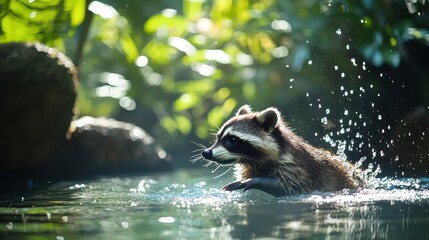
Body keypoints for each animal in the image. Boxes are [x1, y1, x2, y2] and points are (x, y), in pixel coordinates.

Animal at [200, 105, 362, 197]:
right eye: (218, 137)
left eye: (233, 140)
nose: (206, 152)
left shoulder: (294, 166)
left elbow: (293, 188)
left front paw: (254, 181)